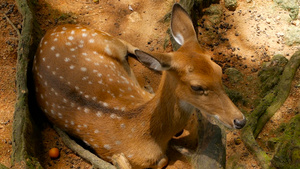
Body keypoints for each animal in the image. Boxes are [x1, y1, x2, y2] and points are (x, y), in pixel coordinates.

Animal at [33, 3, 246, 168]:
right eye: (196, 87)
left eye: (219, 70)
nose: (240, 121)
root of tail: (49, 32)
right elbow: (163, 161)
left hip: (102, 36)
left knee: (131, 47)